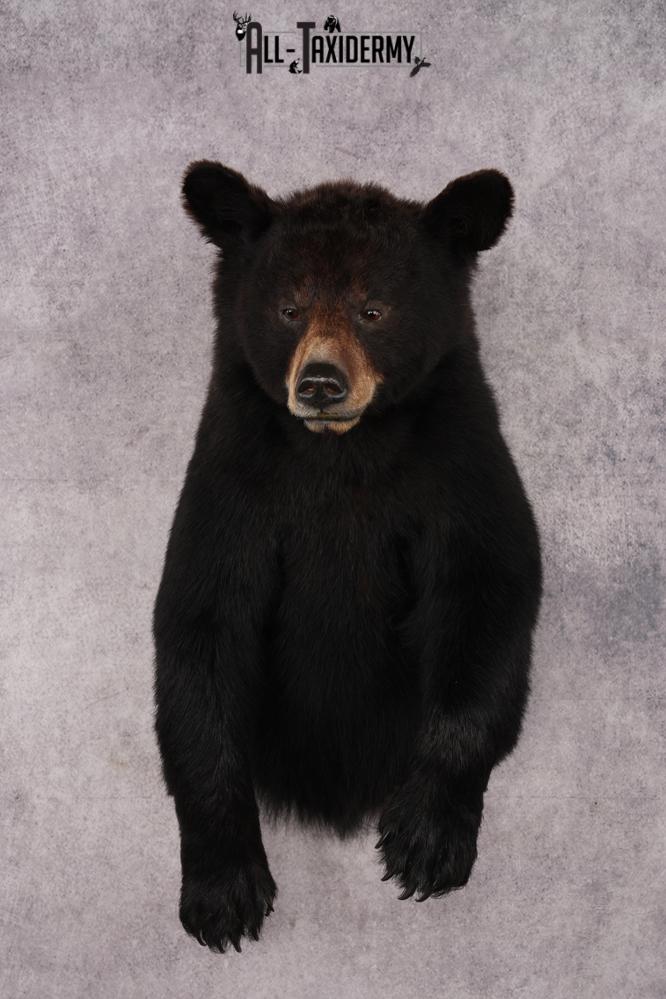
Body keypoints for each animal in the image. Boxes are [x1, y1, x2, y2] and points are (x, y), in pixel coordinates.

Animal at [152, 160, 543, 953]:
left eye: (374, 309)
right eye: (290, 308)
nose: (321, 383)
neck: (343, 455)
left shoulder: (459, 462)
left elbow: (488, 589)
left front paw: (425, 841)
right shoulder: (234, 480)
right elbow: (200, 629)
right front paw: (223, 892)